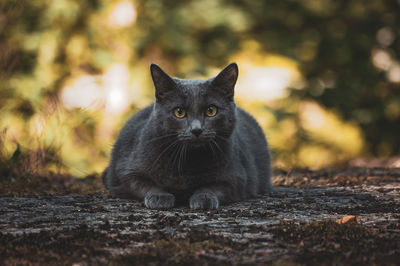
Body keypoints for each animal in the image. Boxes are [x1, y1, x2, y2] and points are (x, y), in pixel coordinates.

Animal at [101, 63, 274, 209]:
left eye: (211, 111)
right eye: (179, 112)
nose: (196, 129)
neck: (187, 161)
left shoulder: (238, 177)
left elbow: (215, 186)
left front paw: (204, 198)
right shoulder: (124, 171)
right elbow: (143, 183)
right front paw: (159, 197)